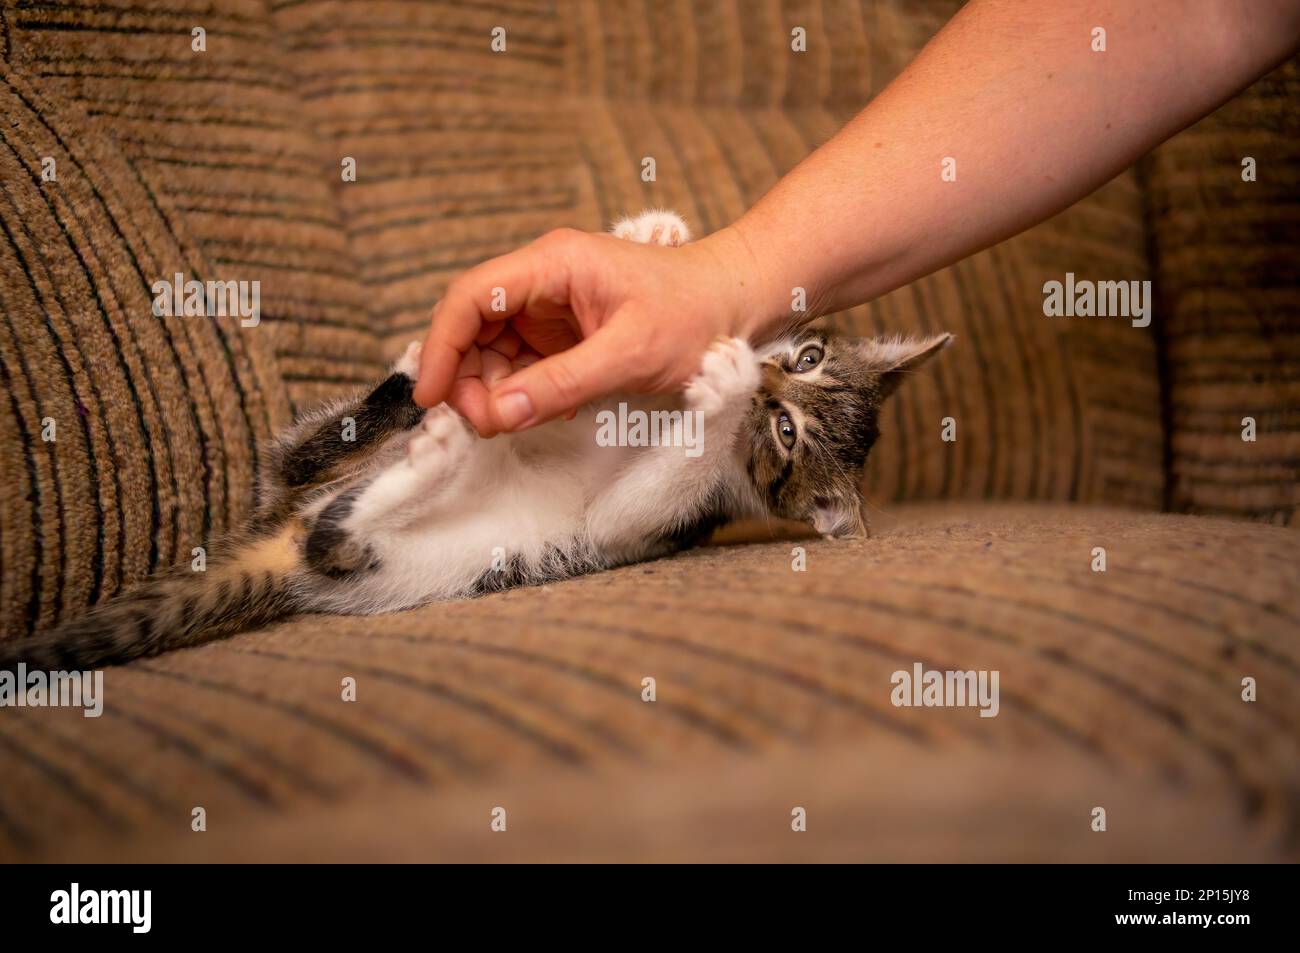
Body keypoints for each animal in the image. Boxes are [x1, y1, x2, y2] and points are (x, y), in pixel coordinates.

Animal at [2, 210, 956, 670]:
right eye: (806, 357)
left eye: (785, 430)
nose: (761, 381)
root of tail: (277, 535)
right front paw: (649, 239)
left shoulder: (646, 523)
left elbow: (632, 500)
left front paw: (717, 397)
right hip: (325, 468)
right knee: (300, 459)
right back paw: (416, 378)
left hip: (414, 568)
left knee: (333, 538)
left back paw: (437, 457)